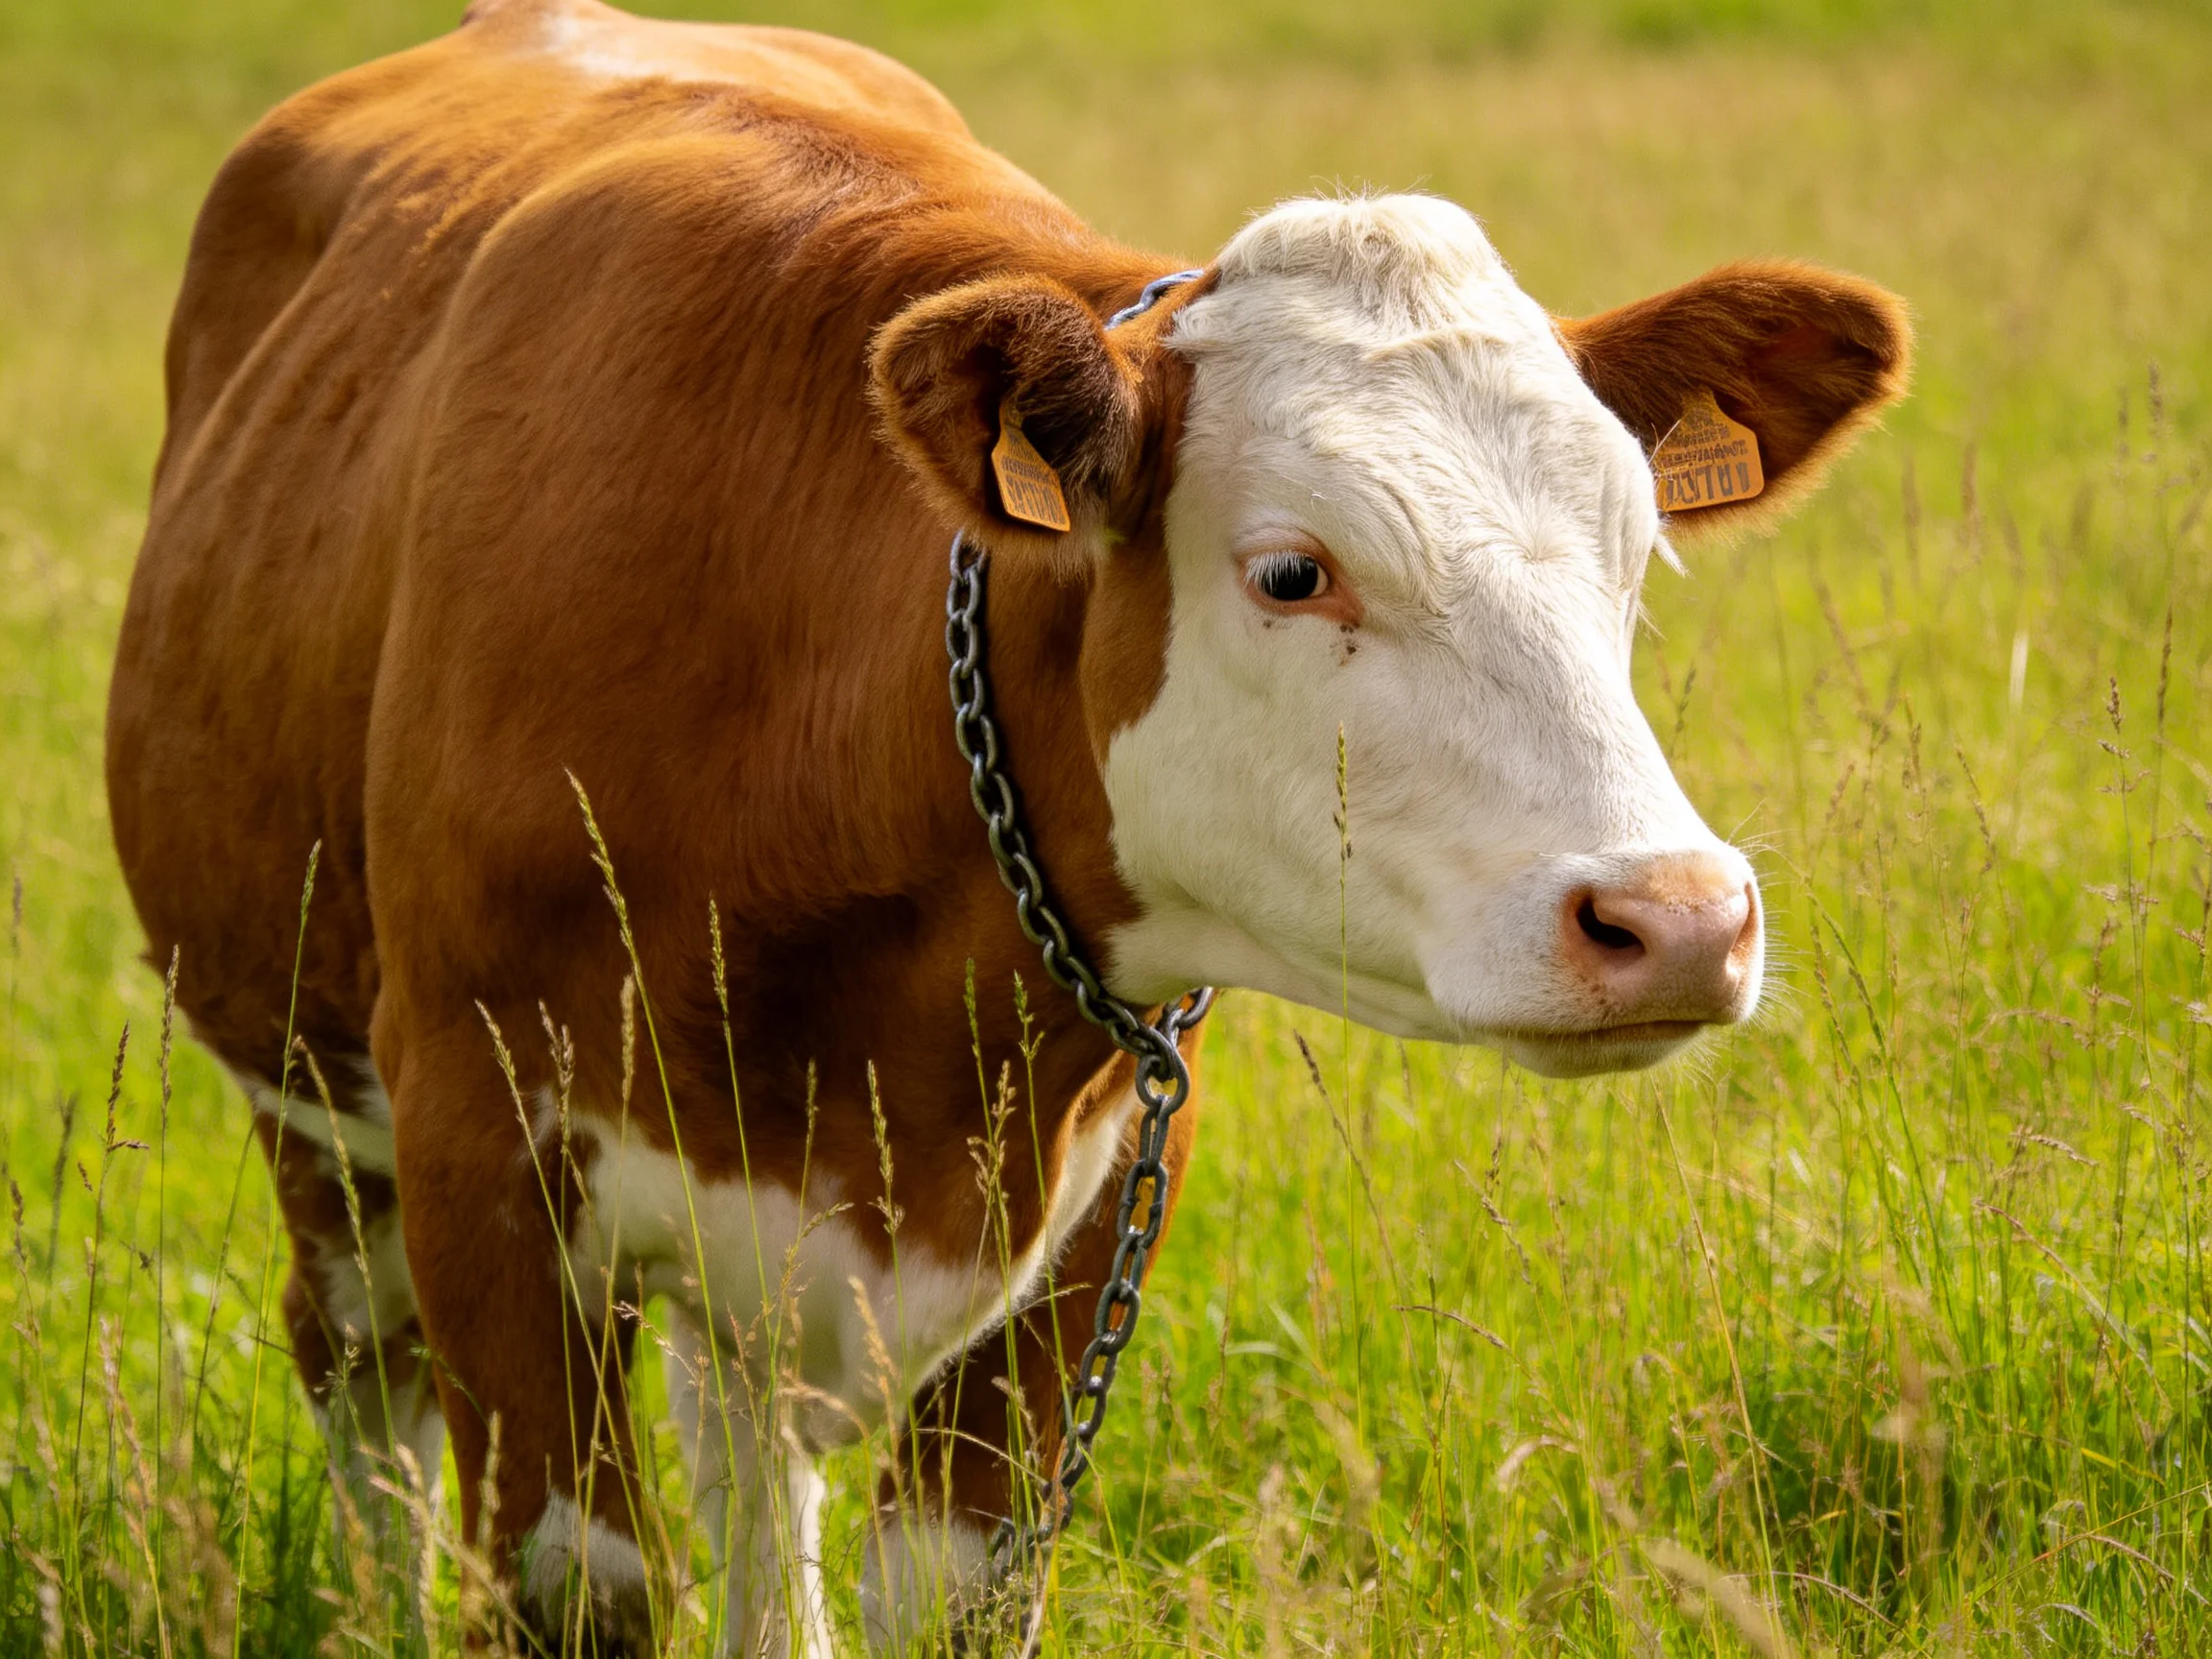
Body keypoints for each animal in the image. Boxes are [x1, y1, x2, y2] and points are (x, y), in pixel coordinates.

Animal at [104, 0, 1910, 1651]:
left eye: (1633, 543)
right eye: (1290, 569)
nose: (1675, 916)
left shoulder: (1084, 1209)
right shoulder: (485, 1161)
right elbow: (571, 1588)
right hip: (317, 1104)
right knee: (362, 1366)